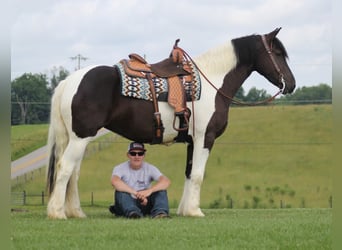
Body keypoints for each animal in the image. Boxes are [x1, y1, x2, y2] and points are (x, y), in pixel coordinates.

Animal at [46, 27, 296, 219]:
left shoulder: (192, 141)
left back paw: (76, 212)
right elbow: (198, 174)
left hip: (78, 139)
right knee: (65, 168)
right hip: (80, 138)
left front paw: (185, 210)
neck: (213, 82)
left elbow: (189, 173)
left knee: (74, 173)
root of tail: (69, 81)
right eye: (277, 53)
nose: (291, 84)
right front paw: (195, 211)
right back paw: (57, 213)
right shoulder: (205, 138)